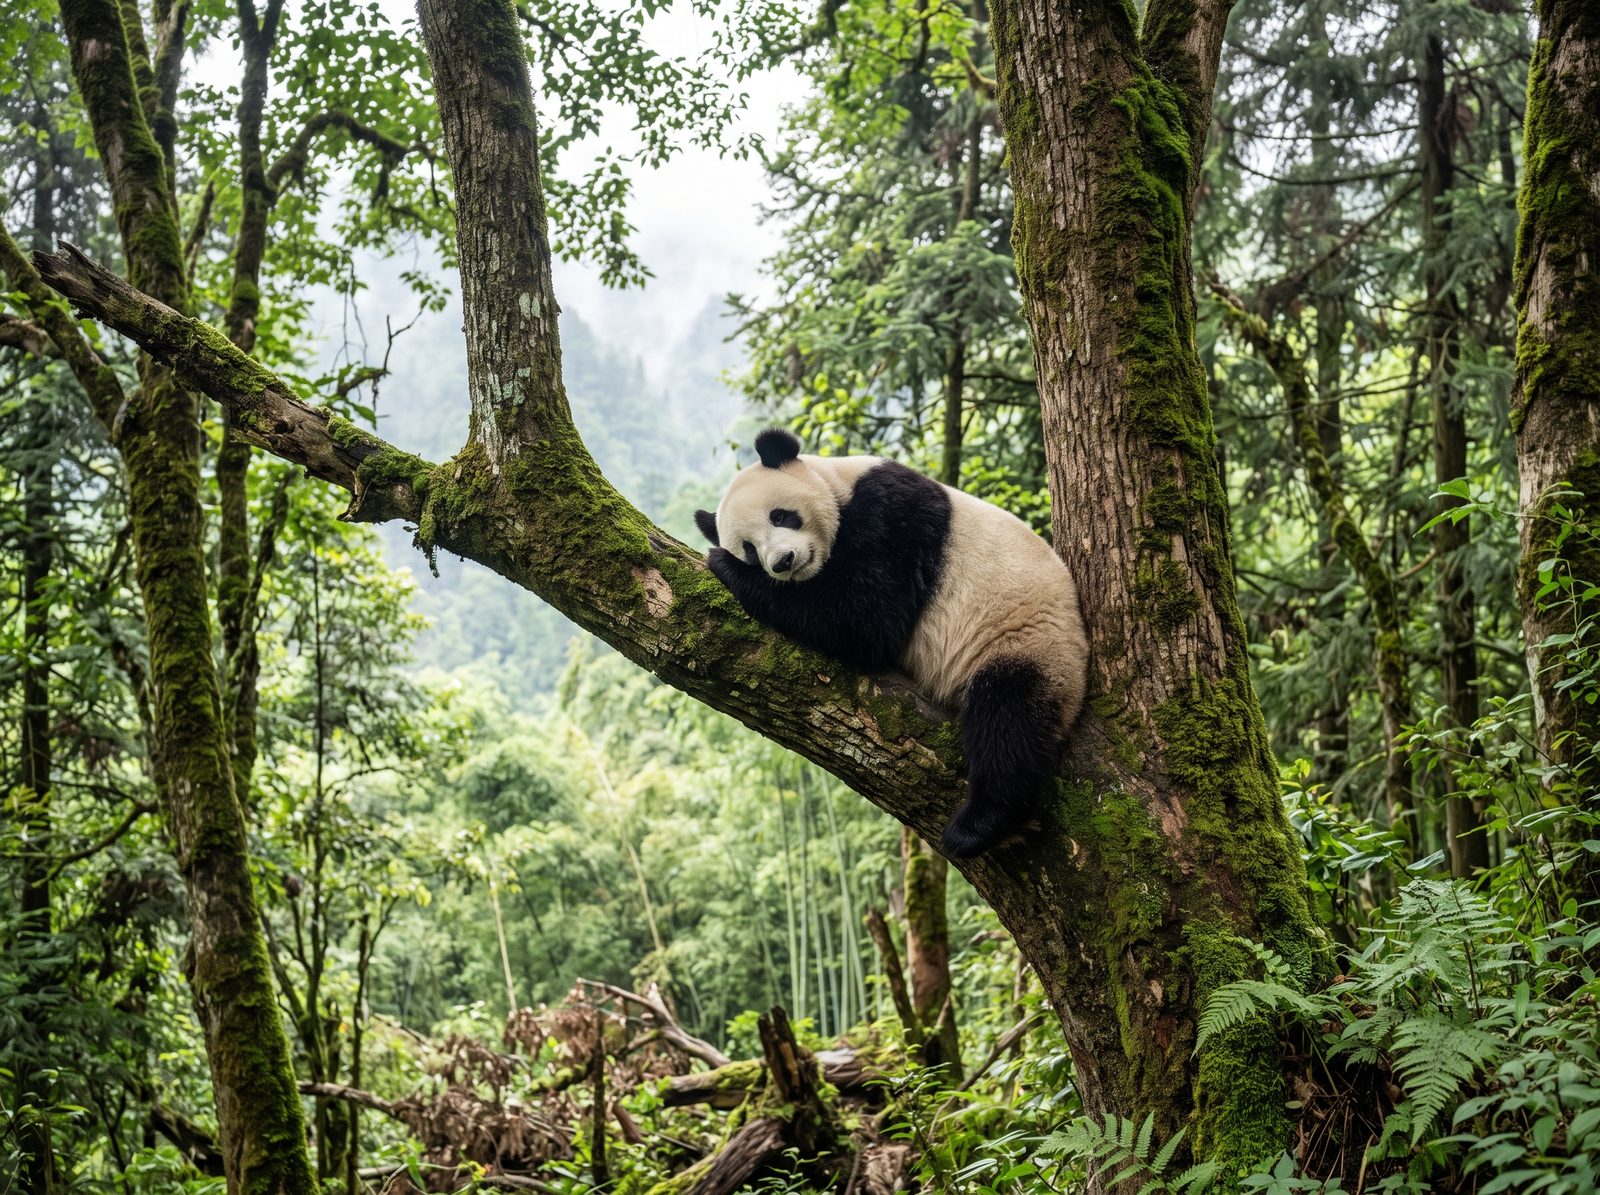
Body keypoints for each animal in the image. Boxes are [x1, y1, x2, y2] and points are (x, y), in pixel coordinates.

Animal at [694, 428, 1088, 858]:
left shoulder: (893, 510)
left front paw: (723, 565)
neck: (839, 485)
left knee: (1008, 720)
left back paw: (979, 825)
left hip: (1026, 640)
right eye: (749, 548)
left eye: (780, 515)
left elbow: (867, 617)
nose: (782, 562)